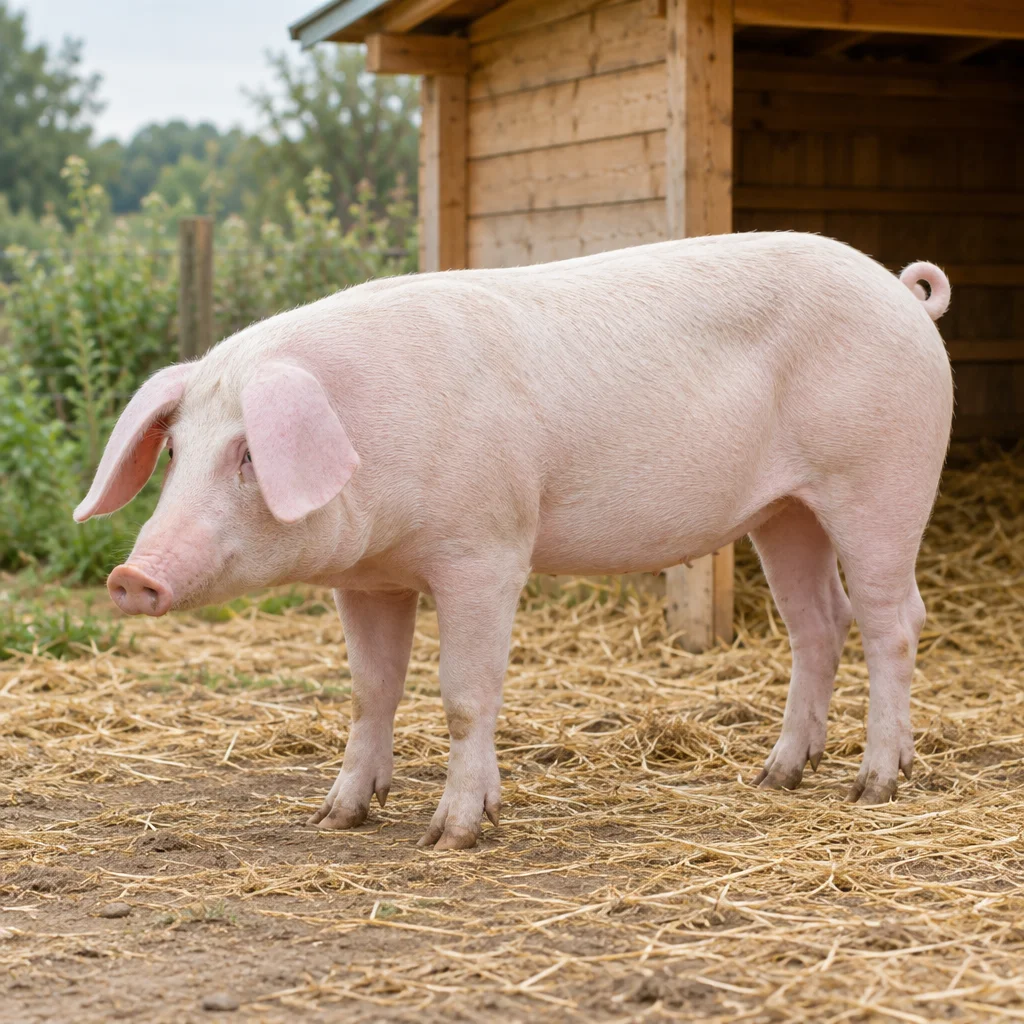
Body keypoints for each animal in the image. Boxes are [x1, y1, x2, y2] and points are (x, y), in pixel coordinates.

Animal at [76, 232, 953, 849]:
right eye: (175, 452)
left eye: (250, 454)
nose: (132, 576)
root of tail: (904, 295)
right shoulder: (368, 577)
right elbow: (370, 690)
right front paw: (336, 818)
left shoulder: (486, 551)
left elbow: (465, 694)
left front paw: (452, 836)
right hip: (783, 512)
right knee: (818, 623)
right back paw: (775, 778)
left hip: (882, 480)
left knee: (892, 621)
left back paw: (875, 787)